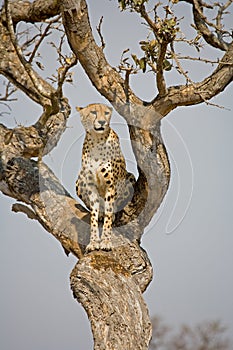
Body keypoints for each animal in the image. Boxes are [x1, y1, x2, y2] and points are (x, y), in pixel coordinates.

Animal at [76, 103, 135, 252]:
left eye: (107, 113)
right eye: (93, 112)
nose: (102, 122)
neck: (97, 140)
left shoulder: (110, 186)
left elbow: (109, 214)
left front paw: (106, 241)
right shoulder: (91, 187)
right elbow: (93, 216)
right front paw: (93, 242)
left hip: (130, 177)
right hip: (79, 180)